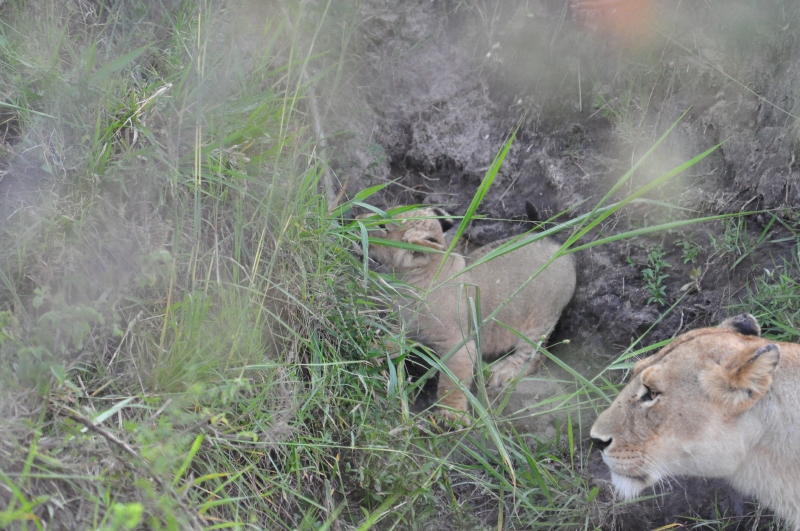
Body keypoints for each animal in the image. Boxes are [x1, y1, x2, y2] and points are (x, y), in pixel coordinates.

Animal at [361, 207, 576, 424]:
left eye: (382, 225)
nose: (357, 219)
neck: (413, 277)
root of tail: (558, 244)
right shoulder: (404, 325)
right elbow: (390, 341)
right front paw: (371, 349)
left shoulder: (460, 344)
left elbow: (453, 382)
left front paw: (452, 415)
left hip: (540, 319)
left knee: (534, 355)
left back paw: (502, 370)